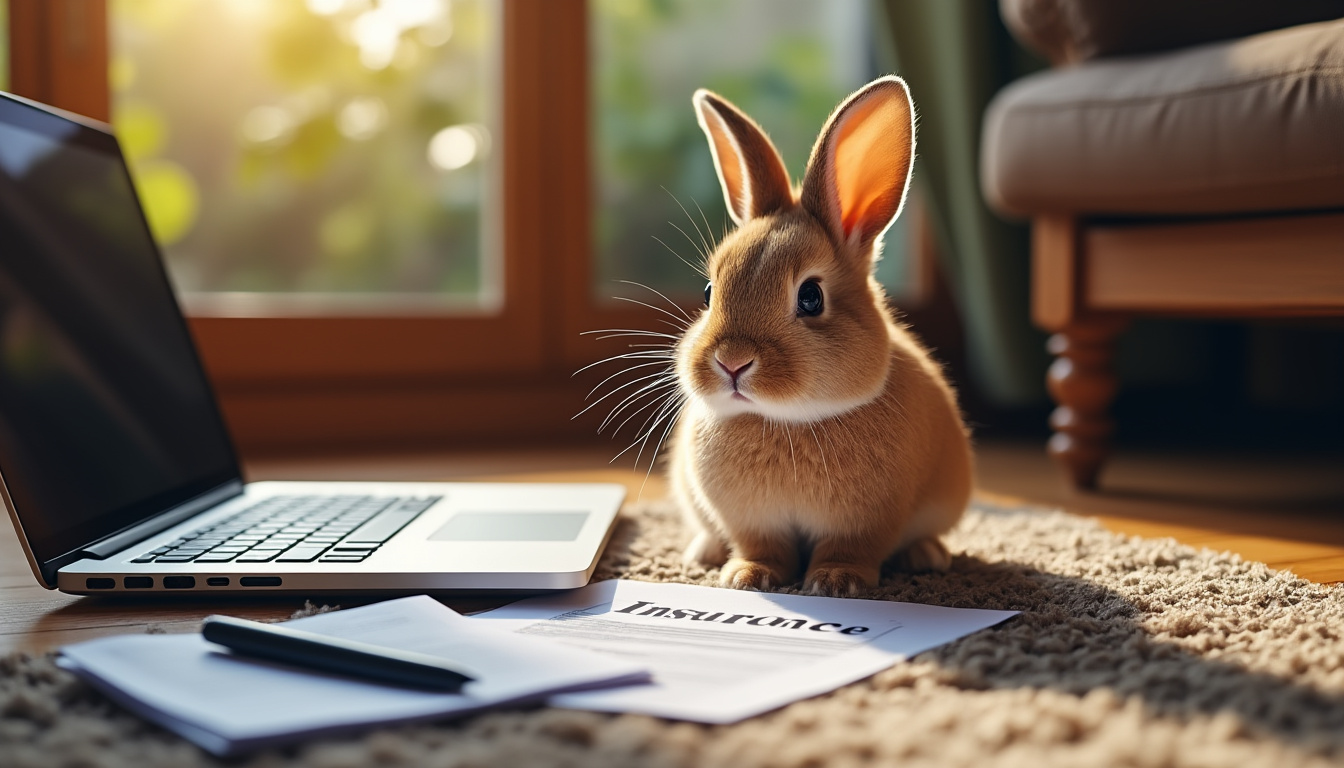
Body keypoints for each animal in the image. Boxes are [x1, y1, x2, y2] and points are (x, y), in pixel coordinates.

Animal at [668, 76, 973, 597]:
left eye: (811, 298)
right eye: (710, 292)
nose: (732, 361)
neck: (784, 420)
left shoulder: (865, 522)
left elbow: (849, 549)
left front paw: (835, 583)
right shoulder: (754, 523)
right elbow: (761, 547)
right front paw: (748, 577)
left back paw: (927, 556)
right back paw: (703, 552)